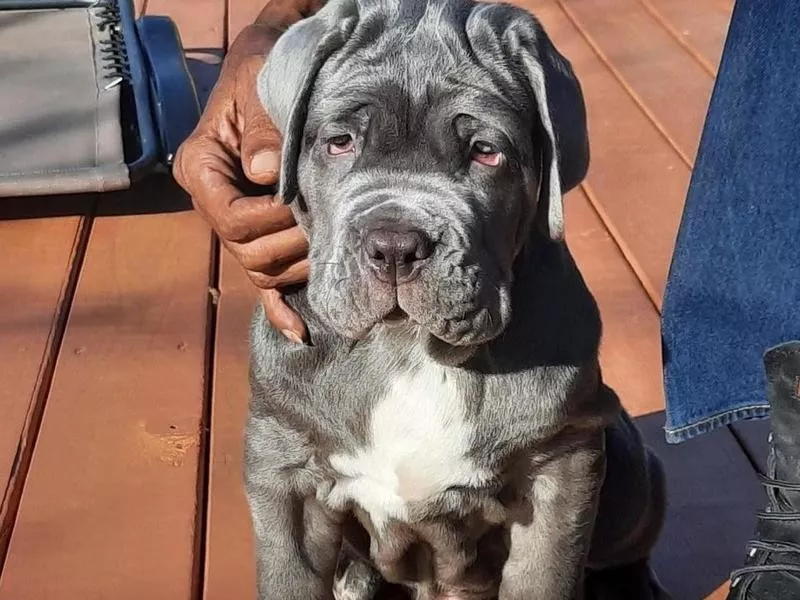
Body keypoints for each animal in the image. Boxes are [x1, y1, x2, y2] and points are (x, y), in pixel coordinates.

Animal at [248, 0, 668, 596]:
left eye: (485, 153)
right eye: (340, 142)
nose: (395, 245)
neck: (407, 347)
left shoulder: (560, 468)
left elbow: (544, 578)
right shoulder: (283, 474)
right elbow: (289, 577)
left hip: (631, 469)